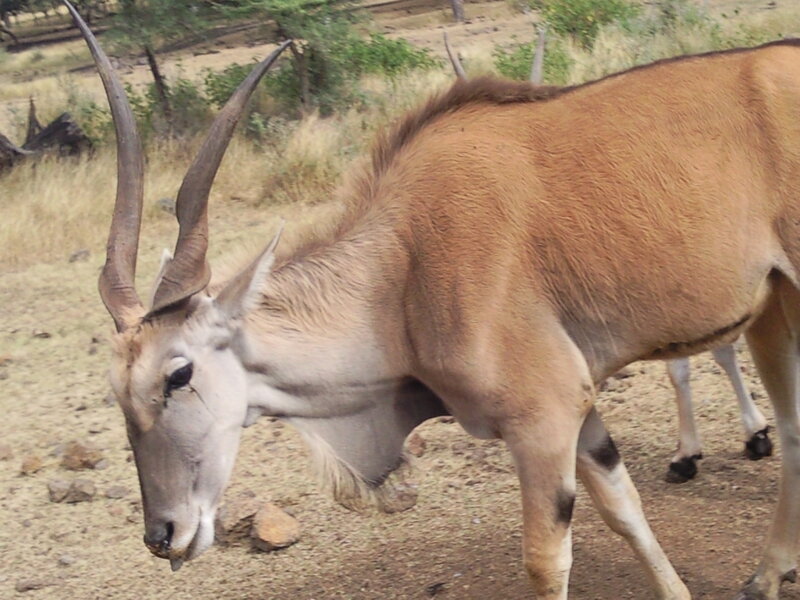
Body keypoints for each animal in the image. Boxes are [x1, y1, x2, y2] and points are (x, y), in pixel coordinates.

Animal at [69, 0, 800, 596]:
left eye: (179, 372)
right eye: (115, 390)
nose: (163, 535)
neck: (402, 270)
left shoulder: (542, 419)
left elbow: (547, 562)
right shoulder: (580, 410)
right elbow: (627, 512)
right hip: (775, 307)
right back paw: (766, 574)